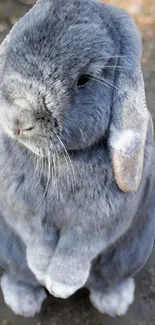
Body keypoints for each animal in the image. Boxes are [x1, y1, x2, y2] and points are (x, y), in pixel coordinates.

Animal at [0, 0, 155, 316]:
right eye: (12, 50)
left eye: (84, 79)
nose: (19, 119)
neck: (62, 157)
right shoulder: (21, 209)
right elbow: (36, 237)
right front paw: (42, 272)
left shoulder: (99, 221)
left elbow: (77, 248)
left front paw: (60, 286)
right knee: (19, 275)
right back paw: (24, 301)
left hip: (131, 253)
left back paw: (113, 302)